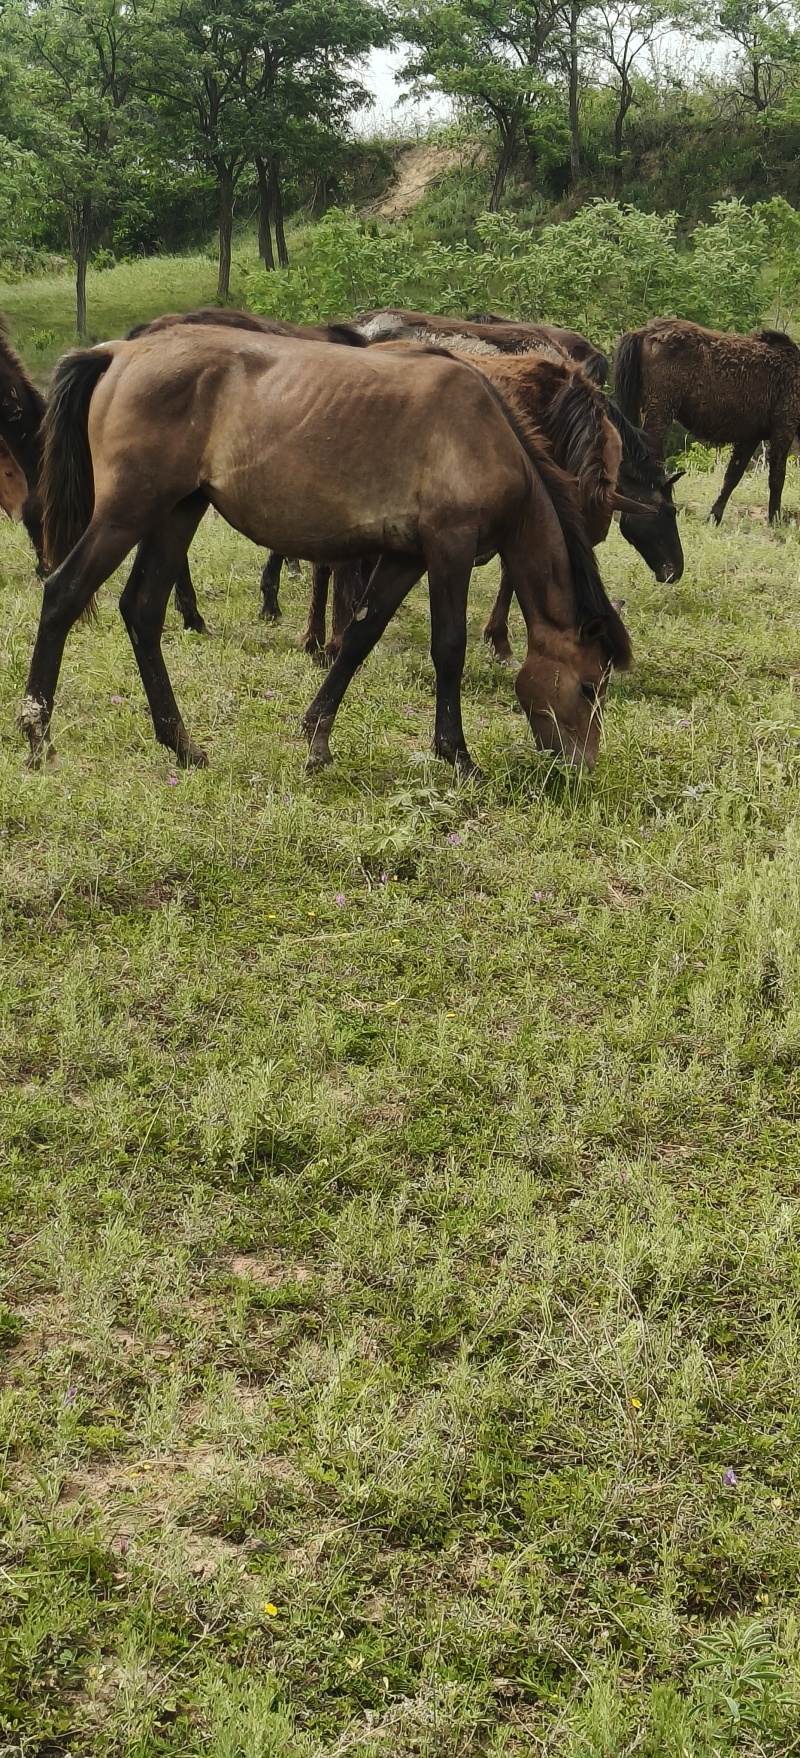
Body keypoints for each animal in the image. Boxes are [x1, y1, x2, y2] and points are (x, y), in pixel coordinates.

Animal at [24, 325, 631, 778]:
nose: (582, 766)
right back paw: (37, 736)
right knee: (63, 594)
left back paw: (182, 744)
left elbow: (359, 638)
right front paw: (457, 756)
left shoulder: (406, 558)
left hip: (176, 512)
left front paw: (317, 738)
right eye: (588, 687)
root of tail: (118, 352)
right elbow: (449, 649)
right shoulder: (449, 551)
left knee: (143, 612)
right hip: (127, 512)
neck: (484, 431)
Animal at [613, 318, 800, 525]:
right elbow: (777, 477)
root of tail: (645, 332)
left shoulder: (751, 436)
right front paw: (775, 520)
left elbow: (732, 476)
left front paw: (714, 517)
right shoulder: (784, 429)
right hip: (659, 412)